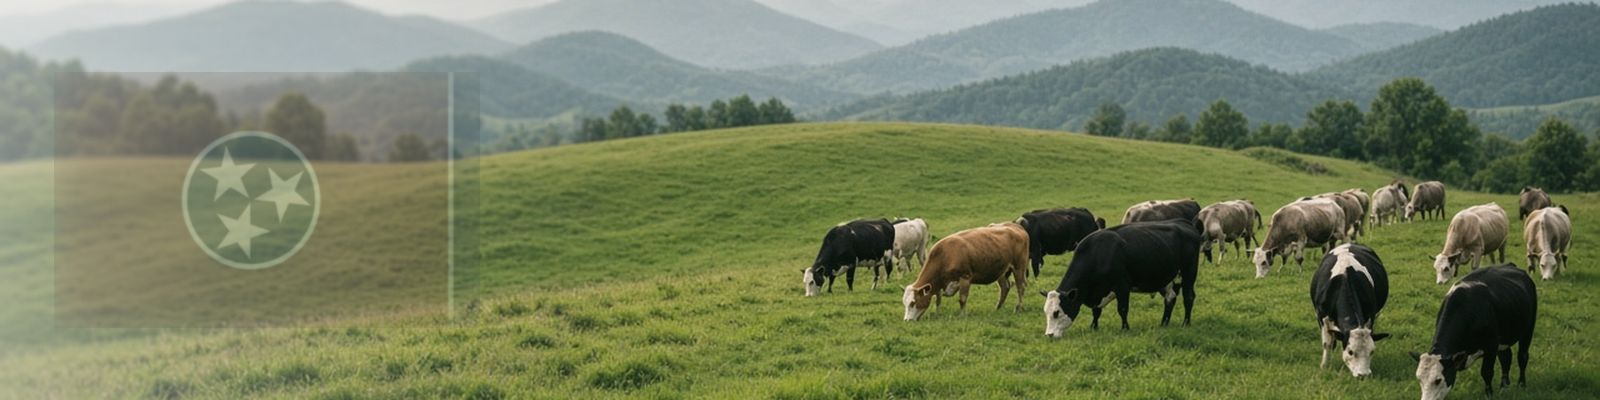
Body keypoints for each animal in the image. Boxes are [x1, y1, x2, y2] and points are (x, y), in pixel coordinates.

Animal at [1040, 219, 1202, 338]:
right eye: (1046, 312)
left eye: (1056, 312)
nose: (1049, 335)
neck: (1099, 253)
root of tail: (1184, 224)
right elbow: (1096, 311)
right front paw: (1093, 327)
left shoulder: (1122, 286)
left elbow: (1122, 309)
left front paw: (1125, 328)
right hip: (1169, 279)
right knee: (1170, 299)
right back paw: (1164, 323)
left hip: (1189, 273)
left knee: (1189, 297)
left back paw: (1185, 323)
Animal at [1310, 244, 1391, 378]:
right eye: (1350, 352)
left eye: (1372, 351)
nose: (1363, 375)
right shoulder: (1321, 317)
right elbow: (1327, 344)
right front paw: (1325, 366)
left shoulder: (1370, 317)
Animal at [1412, 265, 1537, 399]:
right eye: (1419, 379)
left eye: (1438, 380)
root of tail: (1511, 266)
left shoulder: (1491, 345)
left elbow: (1486, 372)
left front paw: (1489, 394)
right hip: (1504, 339)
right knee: (1506, 358)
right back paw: (1504, 386)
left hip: (1528, 329)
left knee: (1522, 357)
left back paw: (1521, 384)